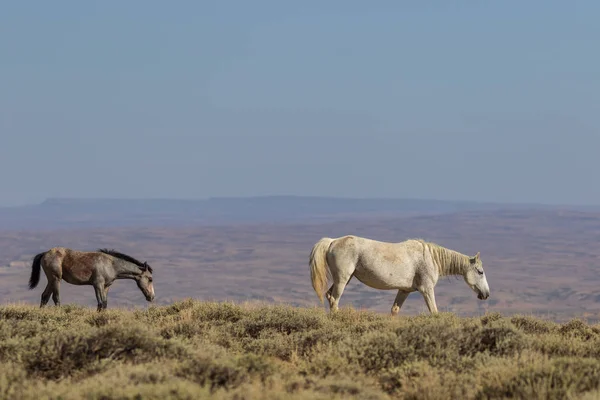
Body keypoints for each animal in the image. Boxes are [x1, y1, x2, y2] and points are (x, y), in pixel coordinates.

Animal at [27, 247, 155, 312]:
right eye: (150, 279)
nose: (152, 297)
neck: (111, 265)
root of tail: (45, 253)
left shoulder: (106, 286)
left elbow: (104, 304)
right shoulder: (97, 285)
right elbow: (100, 303)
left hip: (51, 280)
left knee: (45, 296)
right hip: (56, 279)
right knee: (55, 298)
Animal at [312, 234, 490, 316]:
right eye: (480, 272)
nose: (486, 294)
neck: (431, 258)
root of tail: (333, 241)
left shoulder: (404, 291)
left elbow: (394, 310)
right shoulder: (427, 289)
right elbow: (434, 311)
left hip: (345, 279)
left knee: (329, 296)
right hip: (342, 279)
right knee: (334, 300)